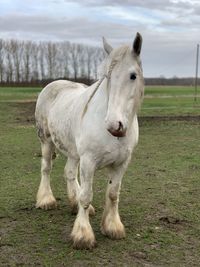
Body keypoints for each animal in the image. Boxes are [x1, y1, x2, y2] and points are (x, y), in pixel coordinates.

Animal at [34, 33, 144, 249]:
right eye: (108, 77)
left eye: (133, 76)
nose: (114, 125)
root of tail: (53, 84)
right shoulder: (88, 161)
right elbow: (86, 195)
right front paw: (82, 234)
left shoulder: (122, 162)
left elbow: (113, 194)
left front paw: (112, 227)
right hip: (47, 141)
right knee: (46, 168)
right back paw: (46, 200)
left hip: (73, 151)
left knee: (69, 172)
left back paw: (72, 202)